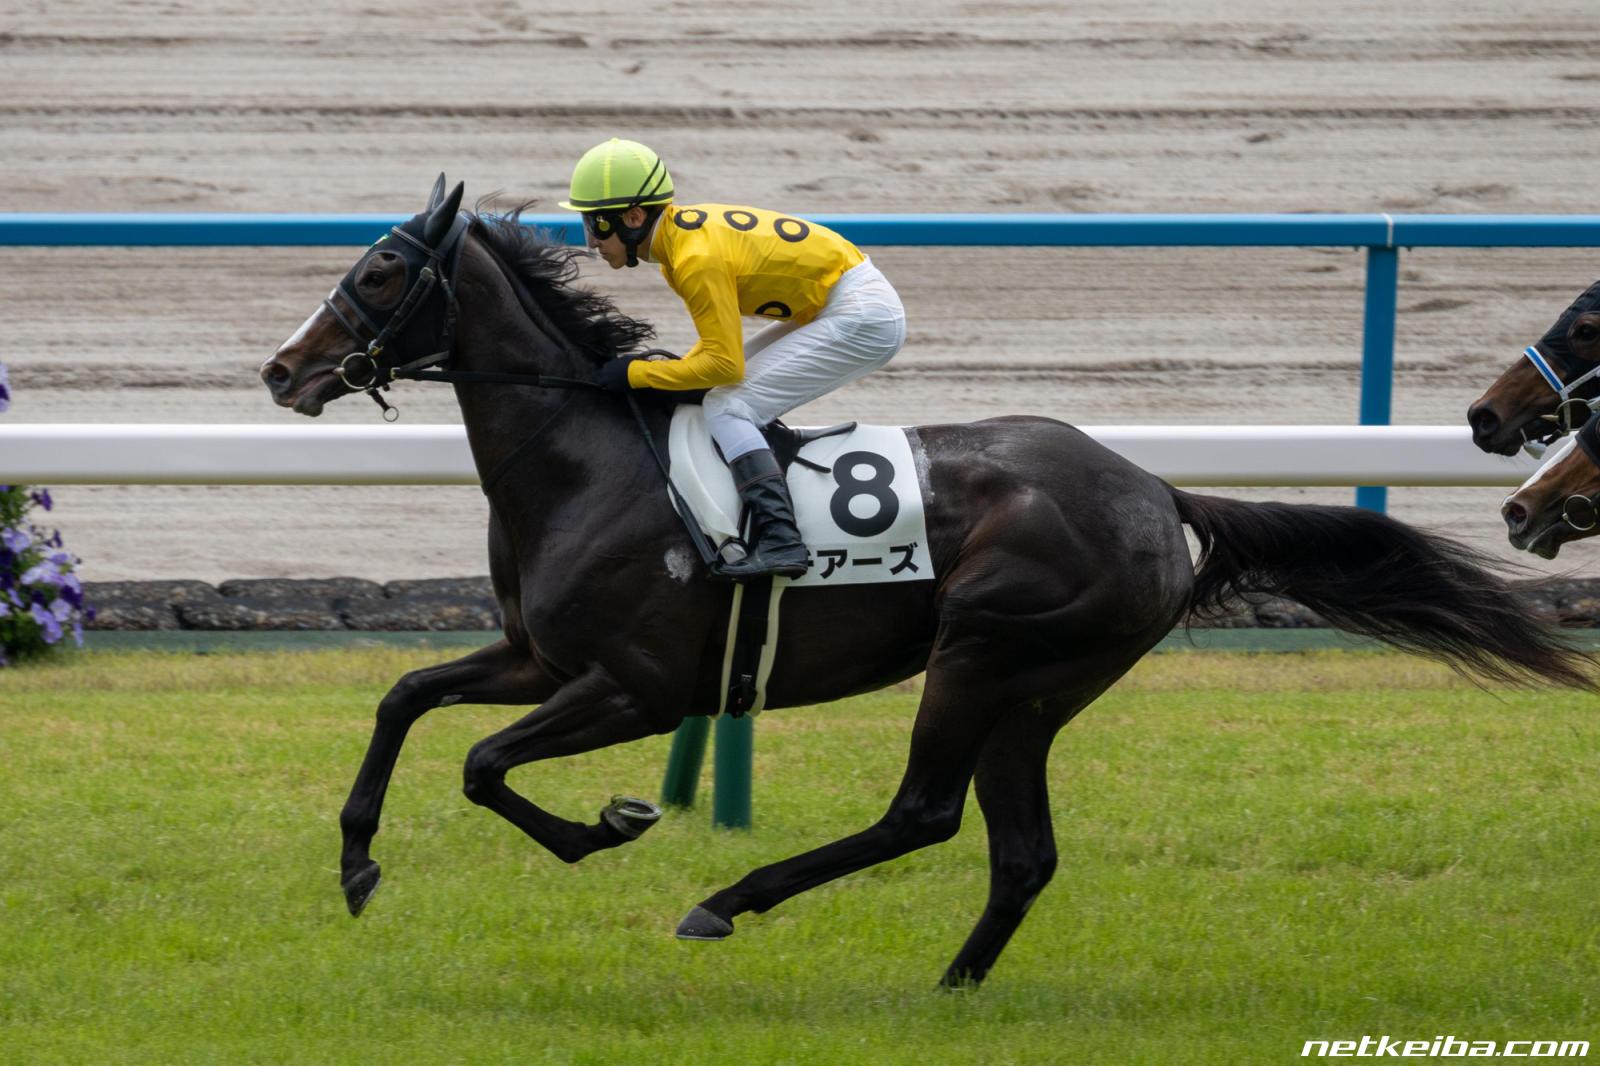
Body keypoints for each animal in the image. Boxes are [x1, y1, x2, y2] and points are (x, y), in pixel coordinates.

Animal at [259, 178, 1587, 985]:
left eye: (379, 273)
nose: (280, 370)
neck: (588, 458)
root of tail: (1155, 490)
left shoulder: (635, 686)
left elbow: (485, 765)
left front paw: (608, 826)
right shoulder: (538, 656)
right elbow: (406, 699)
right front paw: (358, 863)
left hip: (986, 654)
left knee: (924, 813)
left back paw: (731, 898)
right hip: (1037, 689)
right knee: (1020, 851)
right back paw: (954, 980)